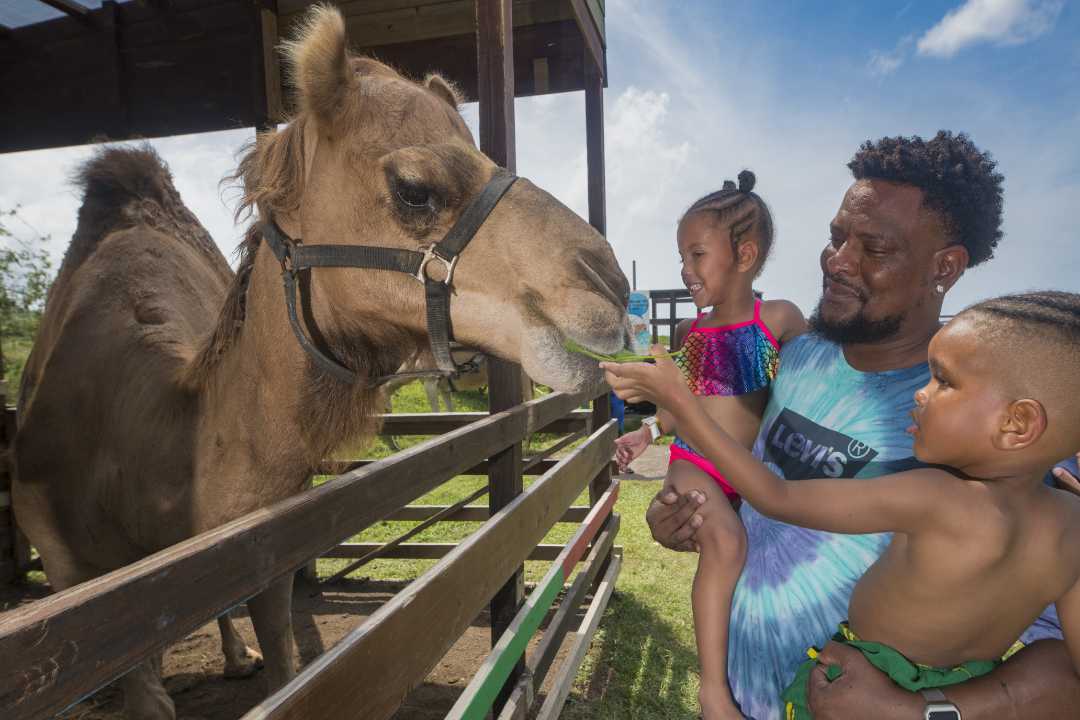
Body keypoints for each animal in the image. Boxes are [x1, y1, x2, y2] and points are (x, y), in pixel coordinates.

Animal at [12, 7, 630, 720]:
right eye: (413, 189)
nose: (612, 287)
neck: (143, 446)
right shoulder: (76, 584)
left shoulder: (268, 546)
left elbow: (285, 666)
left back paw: (235, 657)